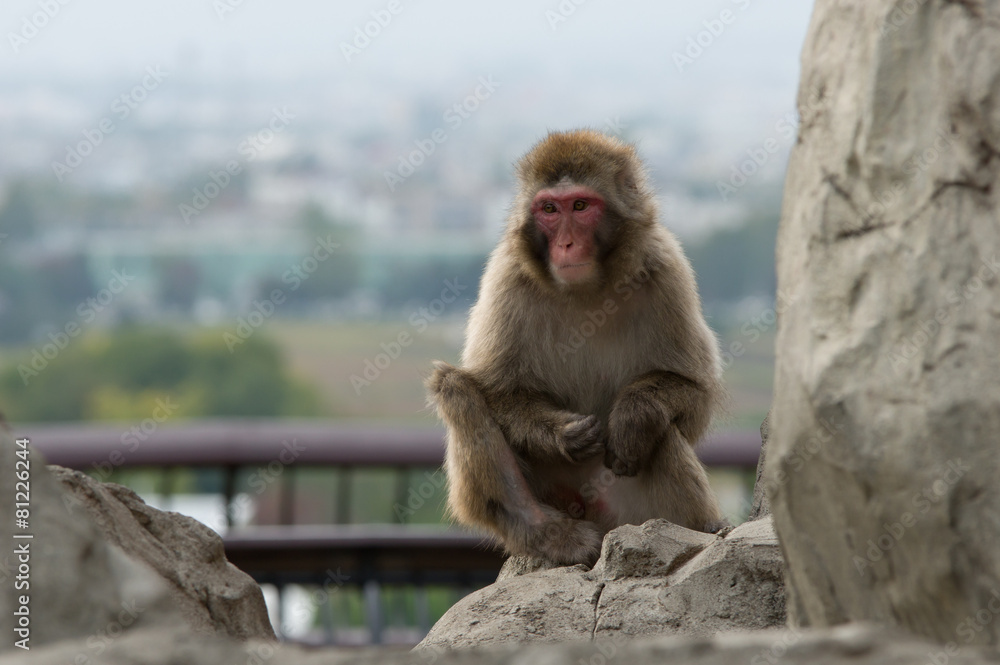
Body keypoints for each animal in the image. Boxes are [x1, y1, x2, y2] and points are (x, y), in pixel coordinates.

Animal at [427, 129, 726, 566]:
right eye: (550, 209)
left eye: (581, 206)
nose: (566, 244)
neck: (587, 289)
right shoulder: (505, 277)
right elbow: (496, 390)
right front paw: (561, 434)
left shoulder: (668, 269)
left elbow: (695, 398)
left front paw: (633, 416)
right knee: (455, 387)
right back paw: (544, 531)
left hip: (628, 508)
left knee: (662, 431)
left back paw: (696, 529)